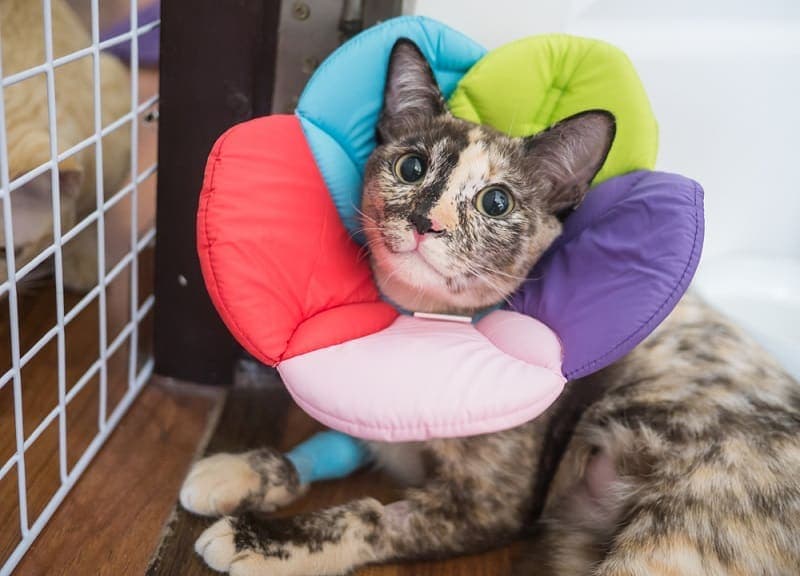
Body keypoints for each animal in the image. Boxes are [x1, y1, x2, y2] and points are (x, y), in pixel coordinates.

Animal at [181, 40, 800, 576]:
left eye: (495, 202)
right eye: (411, 167)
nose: (426, 222)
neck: (421, 322)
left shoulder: (488, 505)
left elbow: (368, 516)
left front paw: (256, 539)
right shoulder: (377, 430)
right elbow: (326, 445)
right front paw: (238, 468)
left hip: (669, 532)